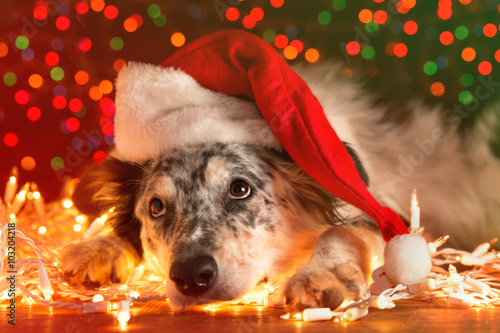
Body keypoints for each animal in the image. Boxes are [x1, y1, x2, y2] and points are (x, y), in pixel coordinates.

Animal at [61, 30, 500, 308]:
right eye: (156, 207)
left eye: (240, 188)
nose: (190, 276)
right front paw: (96, 247)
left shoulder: (390, 217)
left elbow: (339, 231)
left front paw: (320, 276)